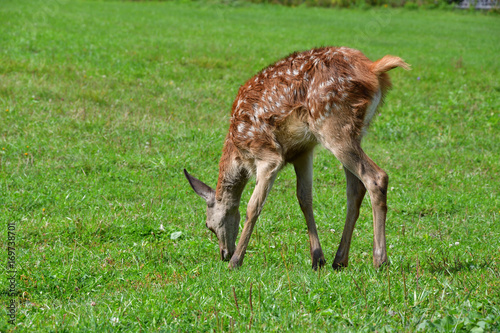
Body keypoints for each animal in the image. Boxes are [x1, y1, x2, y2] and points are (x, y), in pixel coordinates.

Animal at [185, 46, 410, 270]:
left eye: (209, 225)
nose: (224, 254)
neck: (239, 153)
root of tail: (373, 69)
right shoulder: (302, 151)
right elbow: (304, 198)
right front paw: (317, 258)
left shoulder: (268, 155)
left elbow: (253, 206)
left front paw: (236, 261)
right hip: (355, 132)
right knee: (355, 188)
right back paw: (339, 259)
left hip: (333, 125)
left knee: (376, 177)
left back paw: (380, 260)